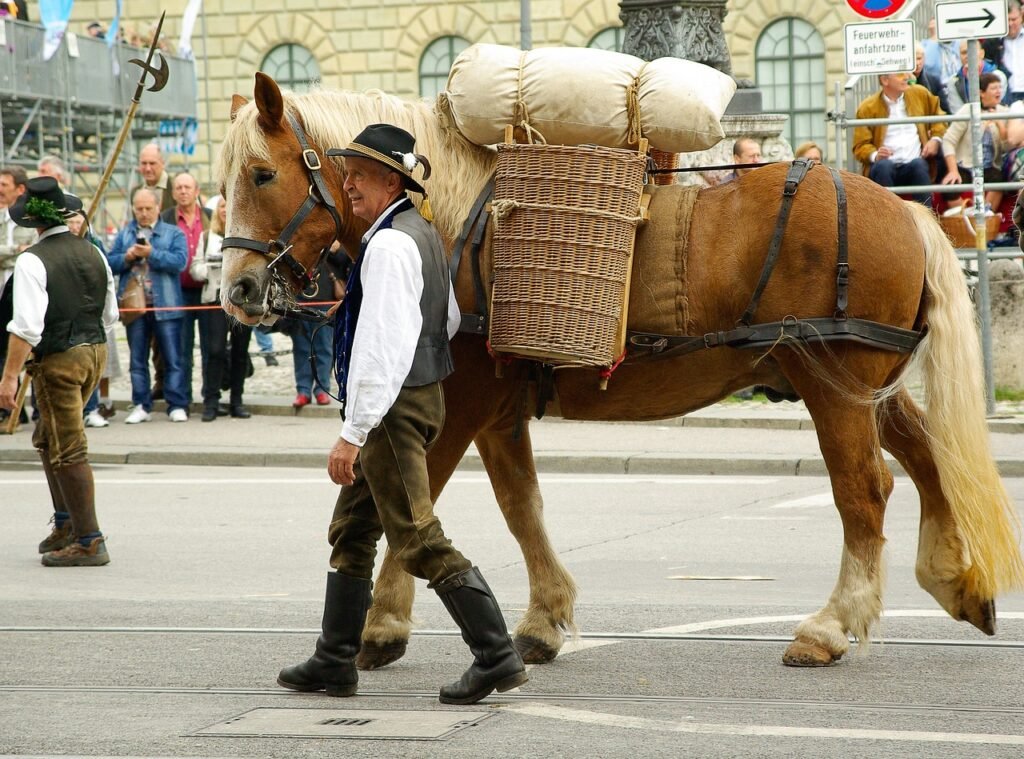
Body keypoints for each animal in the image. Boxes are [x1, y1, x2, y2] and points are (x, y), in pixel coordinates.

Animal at [218, 74, 1024, 667]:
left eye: (260, 173)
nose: (238, 290)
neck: (459, 222)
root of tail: (905, 210)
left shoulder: (461, 399)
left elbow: (415, 503)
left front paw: (383, 622)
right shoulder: (500, 410)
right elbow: (522, 508)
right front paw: (543, 617)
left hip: (833, 387)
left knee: (866, 491)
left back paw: (831, 623)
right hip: (868, 389)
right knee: (928, 458)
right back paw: (953, 577)